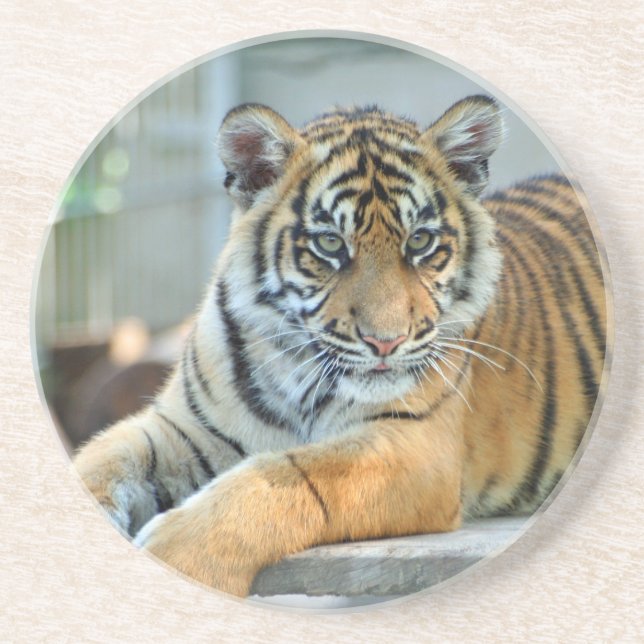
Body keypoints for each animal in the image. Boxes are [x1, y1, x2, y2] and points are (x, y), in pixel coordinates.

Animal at [73, 95, 607, 598]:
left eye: (420, 241)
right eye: (330, 244)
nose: (386, 342)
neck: (293, 368)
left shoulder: (414, 446)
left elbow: (291, 475)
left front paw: (174, 553)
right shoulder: (185, 429)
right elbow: (104, 457)